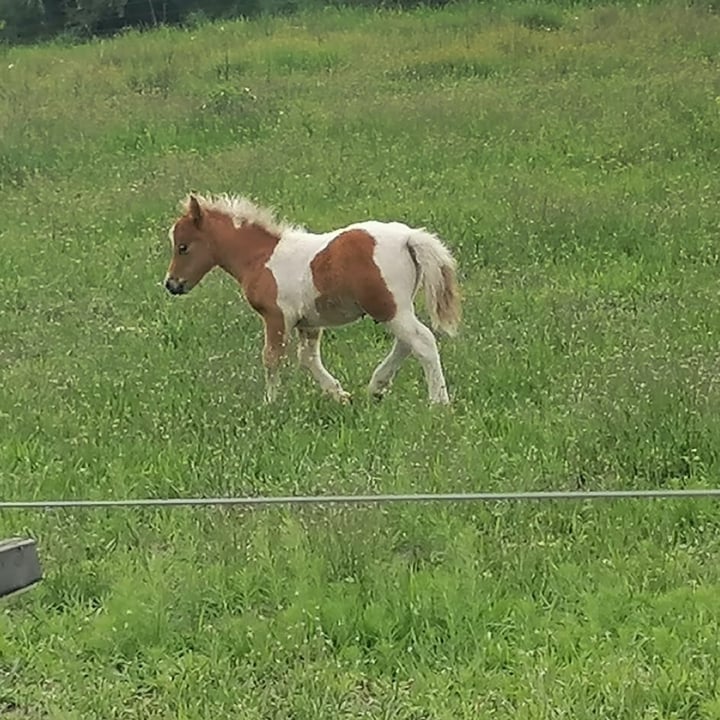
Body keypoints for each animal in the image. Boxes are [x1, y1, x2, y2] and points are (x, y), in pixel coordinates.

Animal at [163, 191, 462, 404]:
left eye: (183, 247)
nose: (171, 284)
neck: (261, 257)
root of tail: (408, 238)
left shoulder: (276, 317)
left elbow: (271, 357)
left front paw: (270, 404)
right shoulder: (308, 322)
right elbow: (307, 358)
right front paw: (340, 395)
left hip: (388, 306)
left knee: (422, 341)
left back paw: (439, 402)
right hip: (395, 308)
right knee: (406, 343)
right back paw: (376, 388)